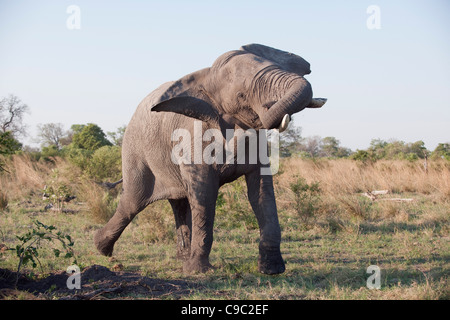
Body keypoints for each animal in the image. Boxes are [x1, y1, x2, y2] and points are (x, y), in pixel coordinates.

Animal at [94, 43, 326, 276]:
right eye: (241, 96)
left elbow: (262, 192)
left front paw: (272, 270)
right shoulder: (194, 137)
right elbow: (205, 195)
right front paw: (197, 271)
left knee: (179, 203)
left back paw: (182, 258)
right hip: (135, 152)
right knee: (133, 201)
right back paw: (101, 248)